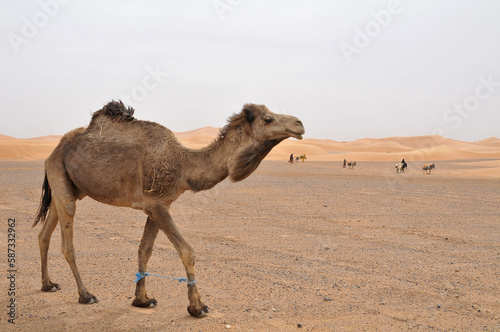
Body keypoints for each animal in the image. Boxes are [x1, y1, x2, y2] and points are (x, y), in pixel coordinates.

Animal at [34, 100, 304, 316]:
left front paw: (142, 300)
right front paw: (197, 306)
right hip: (62, 181)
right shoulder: (156, 205)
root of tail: (53, 152)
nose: (300, 124)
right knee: (67, 243)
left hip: (65, 186)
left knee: (44, 233)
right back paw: (85, 295)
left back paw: (48, 284)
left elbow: (145, 250)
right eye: (268, 119)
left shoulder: (156, 205)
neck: (184, 165)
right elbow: (187, 251)